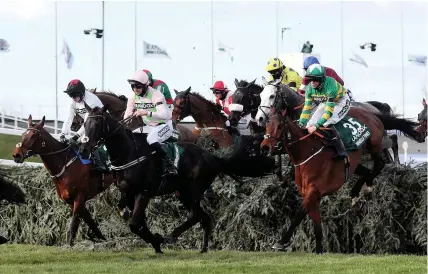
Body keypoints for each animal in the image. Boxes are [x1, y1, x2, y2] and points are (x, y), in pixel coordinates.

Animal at [11, 115, 112, 246]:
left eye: (33, 136)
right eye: (23, 134)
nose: (16, 155)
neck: (65, 163)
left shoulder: (79, 196)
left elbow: (74, 223)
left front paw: (69, 245)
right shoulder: (70, 200)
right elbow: (89, 220)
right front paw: (104, 240)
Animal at [79, 106, 274, 254]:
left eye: (96, 124)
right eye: (84, 123)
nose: (83, 149)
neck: (129, 154)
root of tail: (211, 157)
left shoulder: (144, 193)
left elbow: (134, 223)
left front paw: (157, 240)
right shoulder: (128, 194)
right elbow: (134, 219)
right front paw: (155, 242)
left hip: (193, 191)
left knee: (195, 215)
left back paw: (170, 235)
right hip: (184, 193)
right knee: (204, 217)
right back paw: (203, 248)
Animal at [260, 99, 422, 254]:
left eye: (280, 126)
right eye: (267, 125)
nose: (265, 147)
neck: (306, 153)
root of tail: (372, 113)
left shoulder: (313, 191)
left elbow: (299, 214)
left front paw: (281, 242)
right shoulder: (311, 195)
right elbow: (317, 228)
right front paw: (319, 251)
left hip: (375, 143)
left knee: (380, 162)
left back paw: (367, 187)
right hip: (355, 163)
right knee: (367, 171)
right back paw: (356, 193)